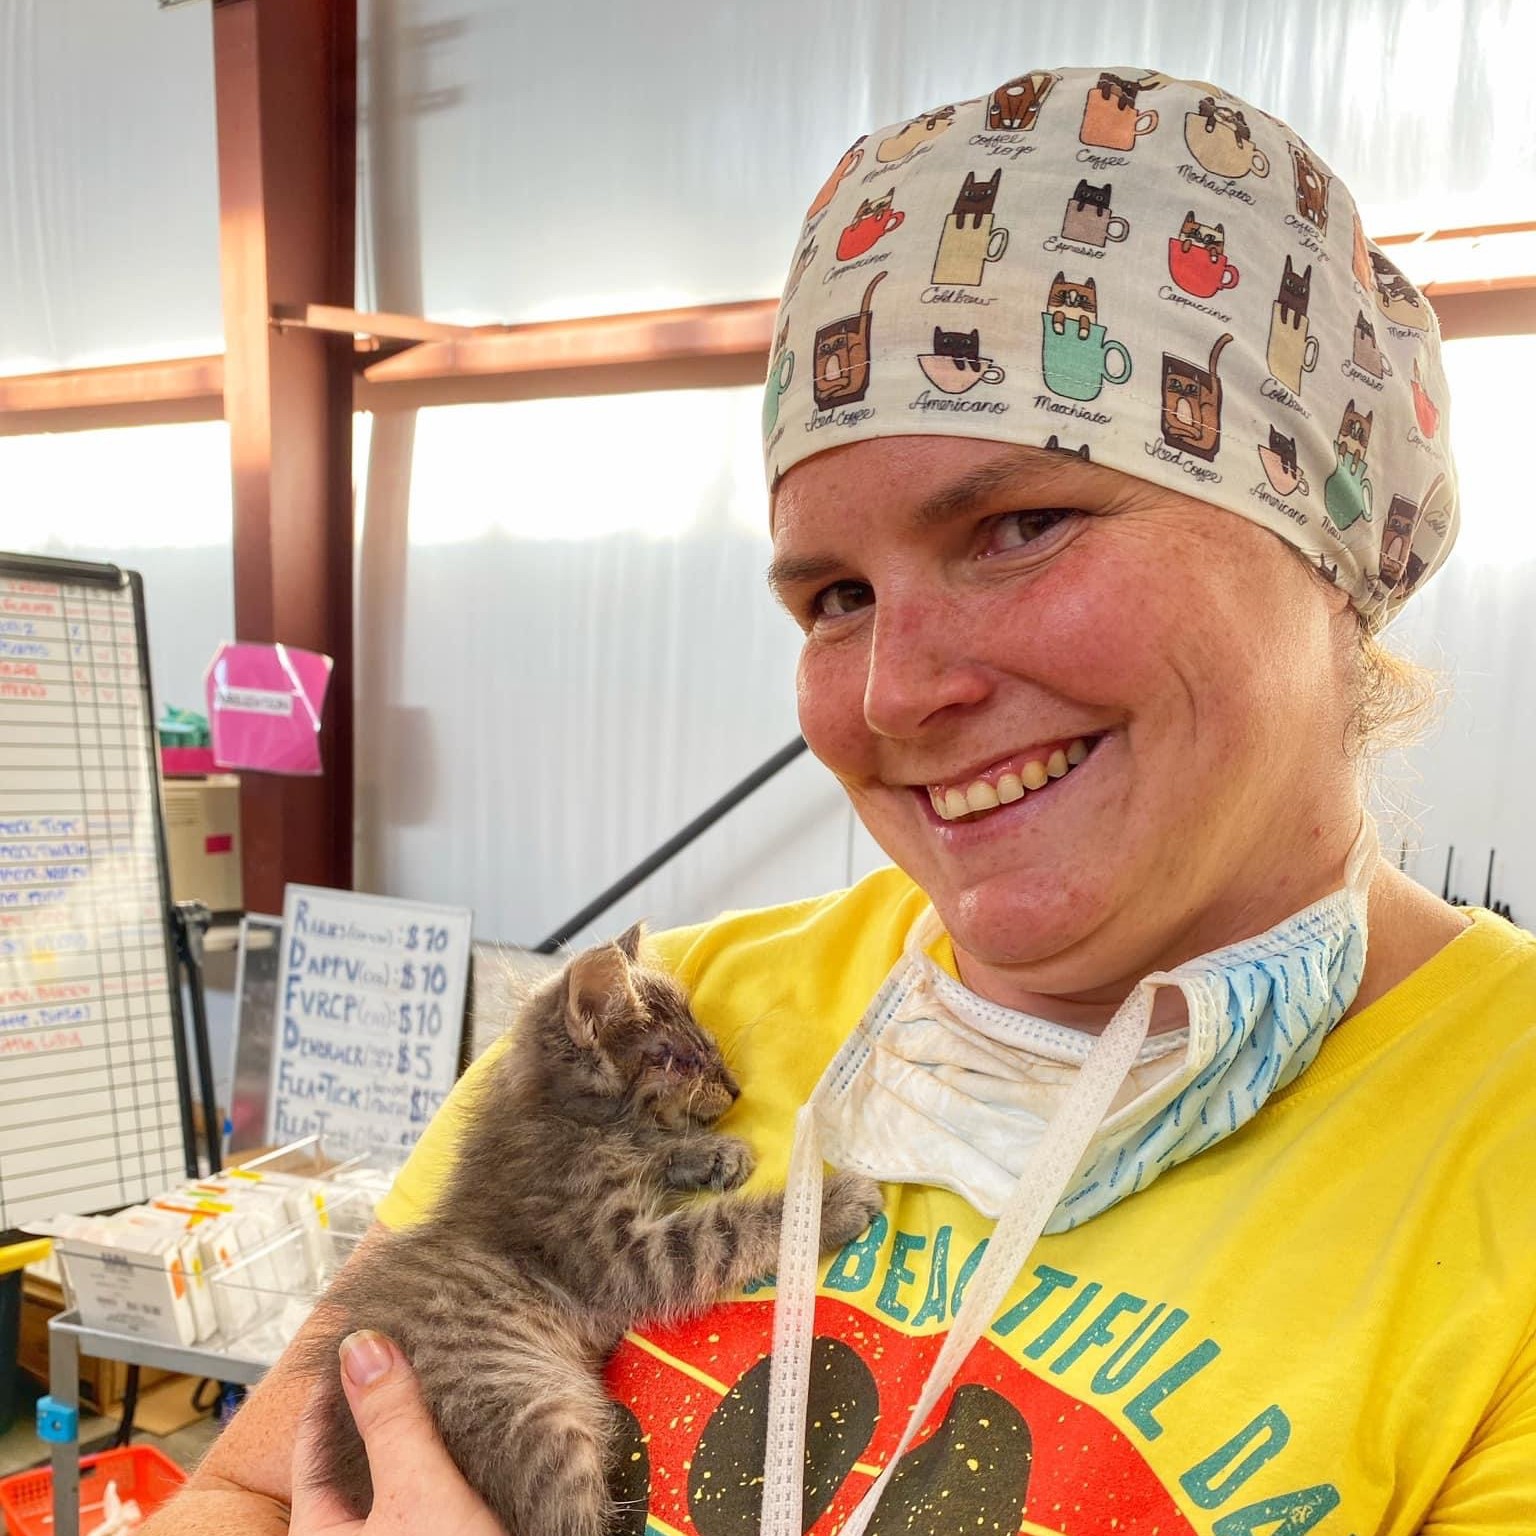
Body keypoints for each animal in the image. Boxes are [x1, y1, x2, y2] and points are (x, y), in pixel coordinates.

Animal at [302, 921, 878, 1536]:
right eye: (676, 1058)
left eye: (705, 1043)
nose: (735, 1088)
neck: (568, 1120)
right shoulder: (625, 1256)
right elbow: (723, 1231)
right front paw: (825, 1201)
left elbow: (657, 1149)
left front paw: (711, 1154)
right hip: (540, 1425)